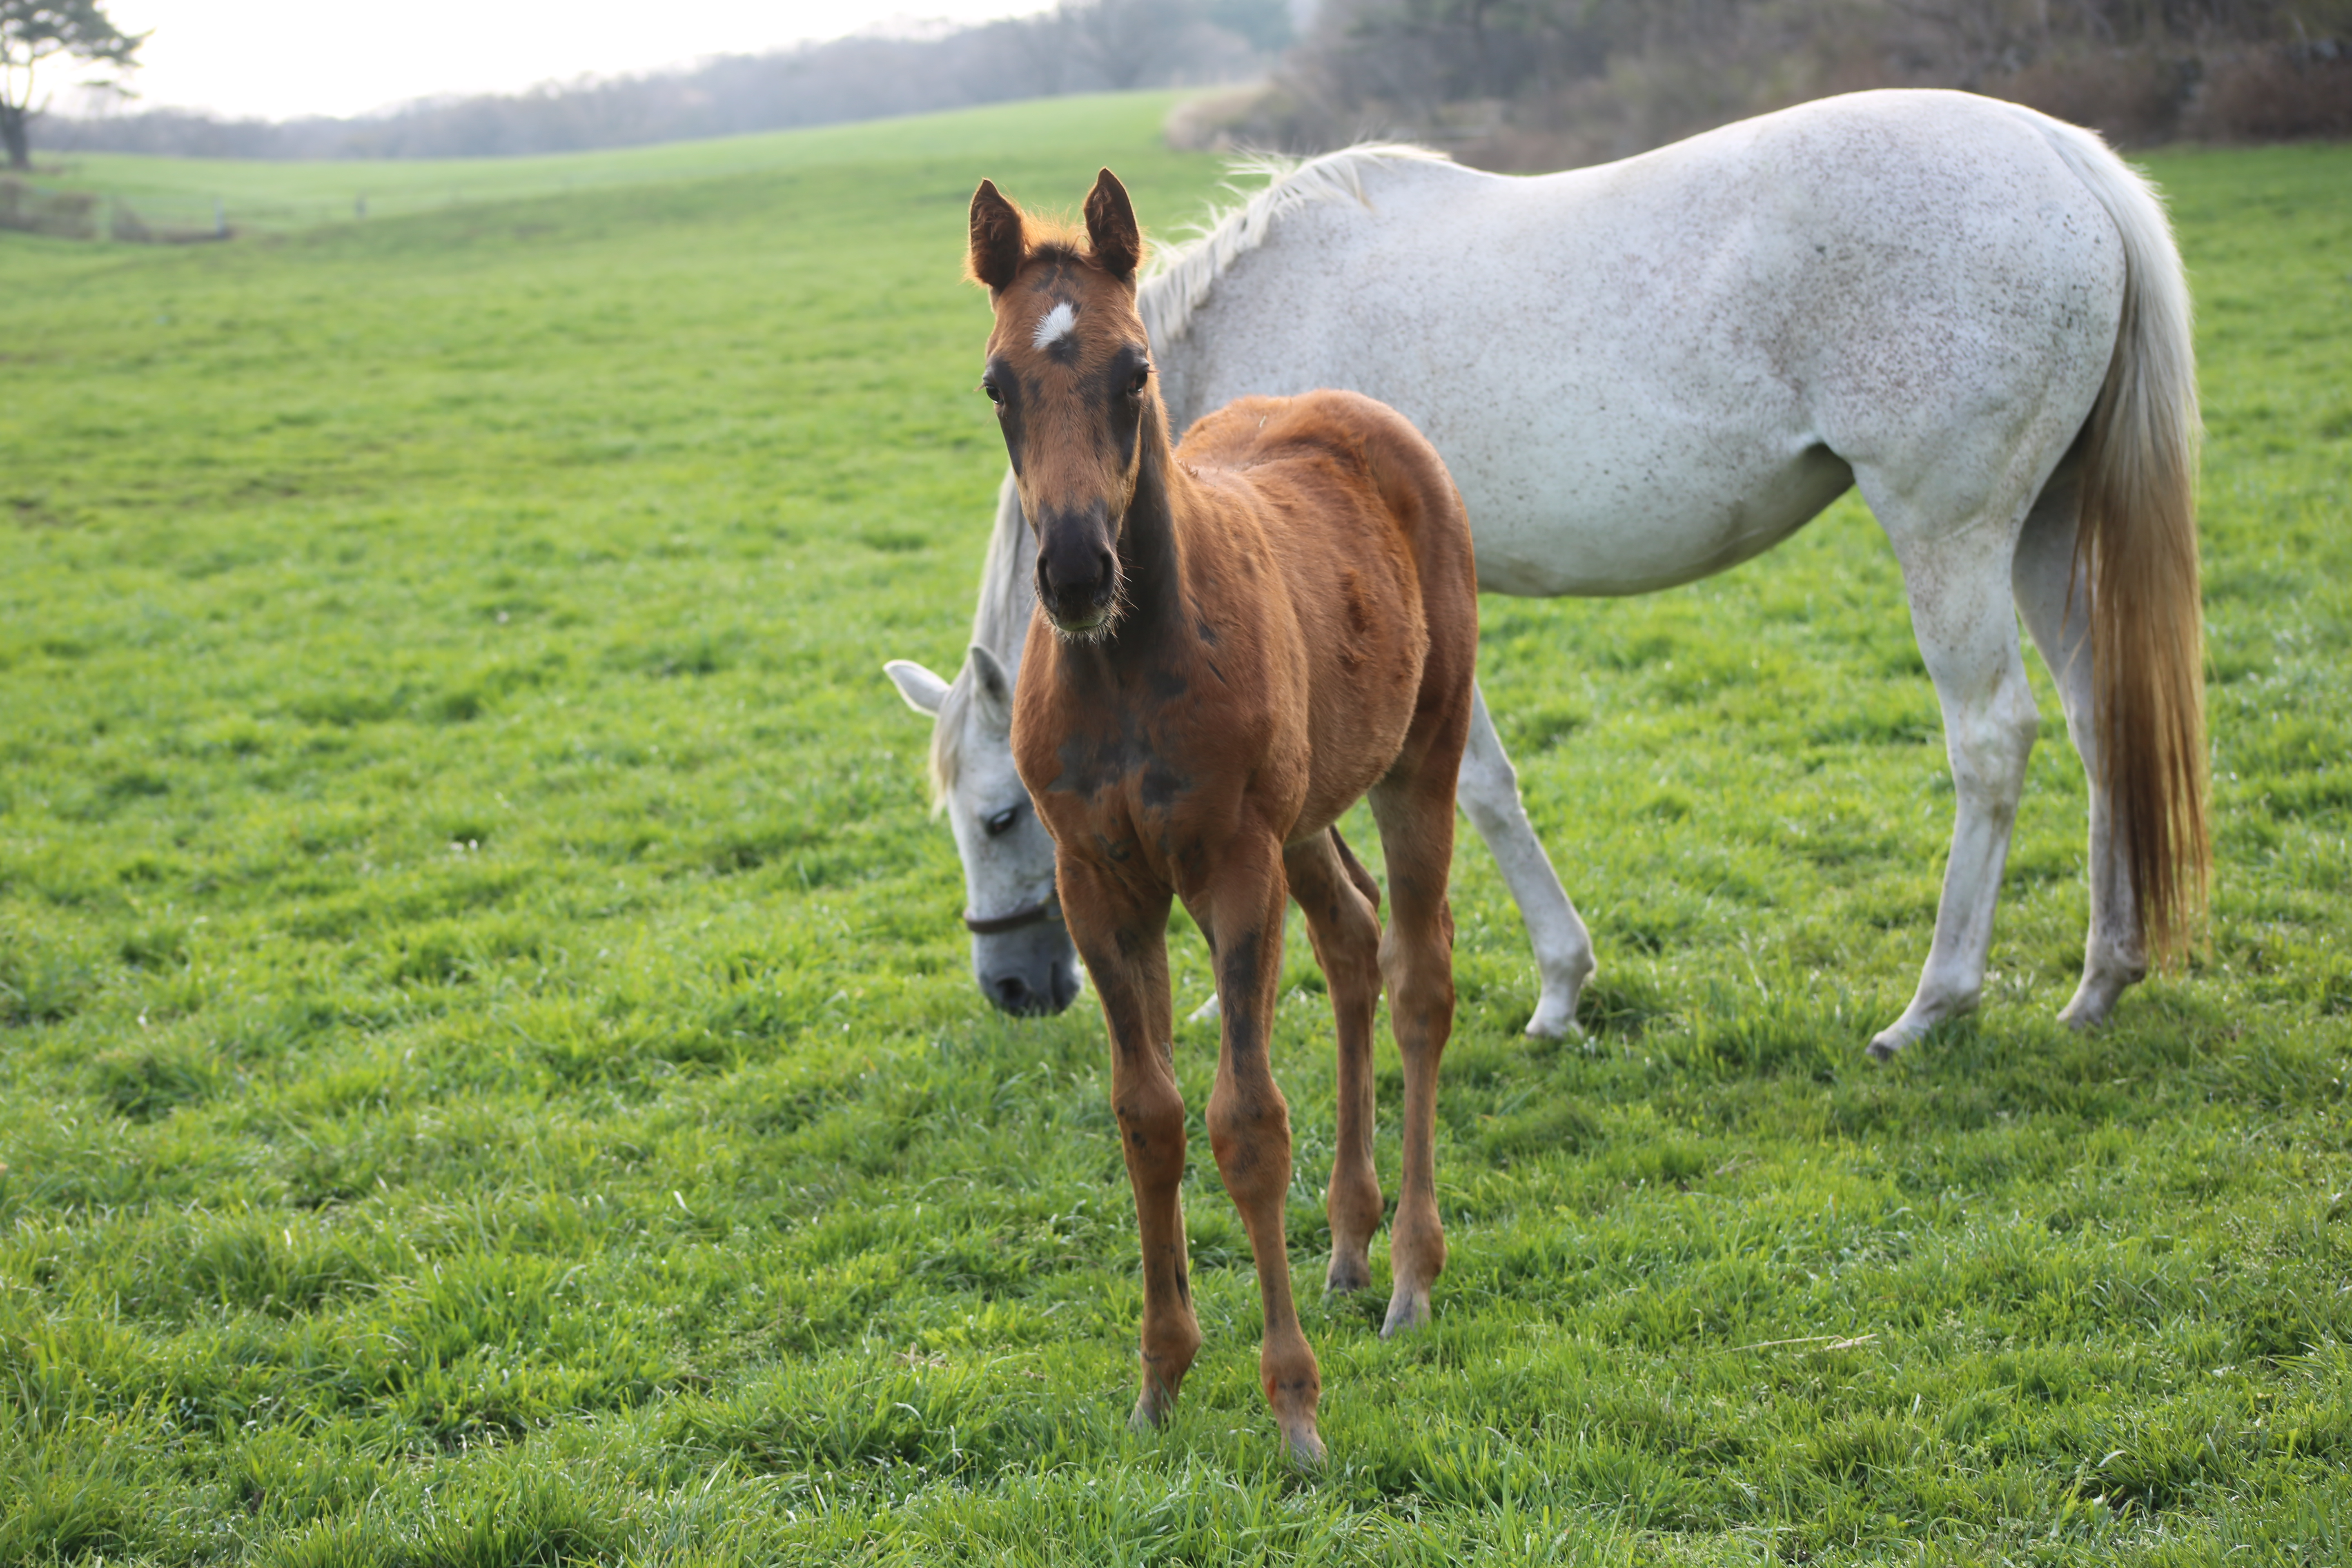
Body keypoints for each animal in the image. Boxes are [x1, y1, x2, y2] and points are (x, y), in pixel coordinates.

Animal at [884, 92, 2201, 1062]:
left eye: (1004, 812)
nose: (1011, 984)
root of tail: (2058, 154)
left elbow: (1472, 789)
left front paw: (1554, 988)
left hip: (1951, 532)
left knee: (1993, 738)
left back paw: (1934, 1001)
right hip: (2043, 526)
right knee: (2099, 718)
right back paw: (2101, 978)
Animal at [964, 169, 1477, 1457]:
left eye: (1135, 370)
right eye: (997, 382)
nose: (1077, 572)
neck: (1126, 665)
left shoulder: (1232, 866)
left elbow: (1247, 1122)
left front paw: (1294, 1410)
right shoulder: (1102, 880)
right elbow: (1147, 1115)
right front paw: (1158, 1382)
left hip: (1420, 758)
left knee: (1418, 976)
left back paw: (1408, 1273)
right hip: (1305, 815)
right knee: (1351, 941)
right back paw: (1347, 1244)